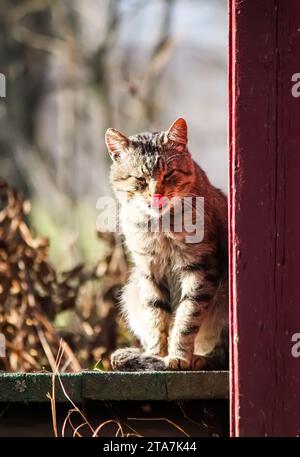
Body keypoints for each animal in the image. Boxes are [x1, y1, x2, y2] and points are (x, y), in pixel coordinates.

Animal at [105, 117, 227, 370]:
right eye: (140, 179)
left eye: (169, 174)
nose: (157, 195)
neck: (159, 226)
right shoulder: (149, 270)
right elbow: (156, 316)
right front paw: (157, 354)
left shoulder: (199, 268)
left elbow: (187, 317)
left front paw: (178, 356)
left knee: (221, 353)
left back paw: (198, 358)